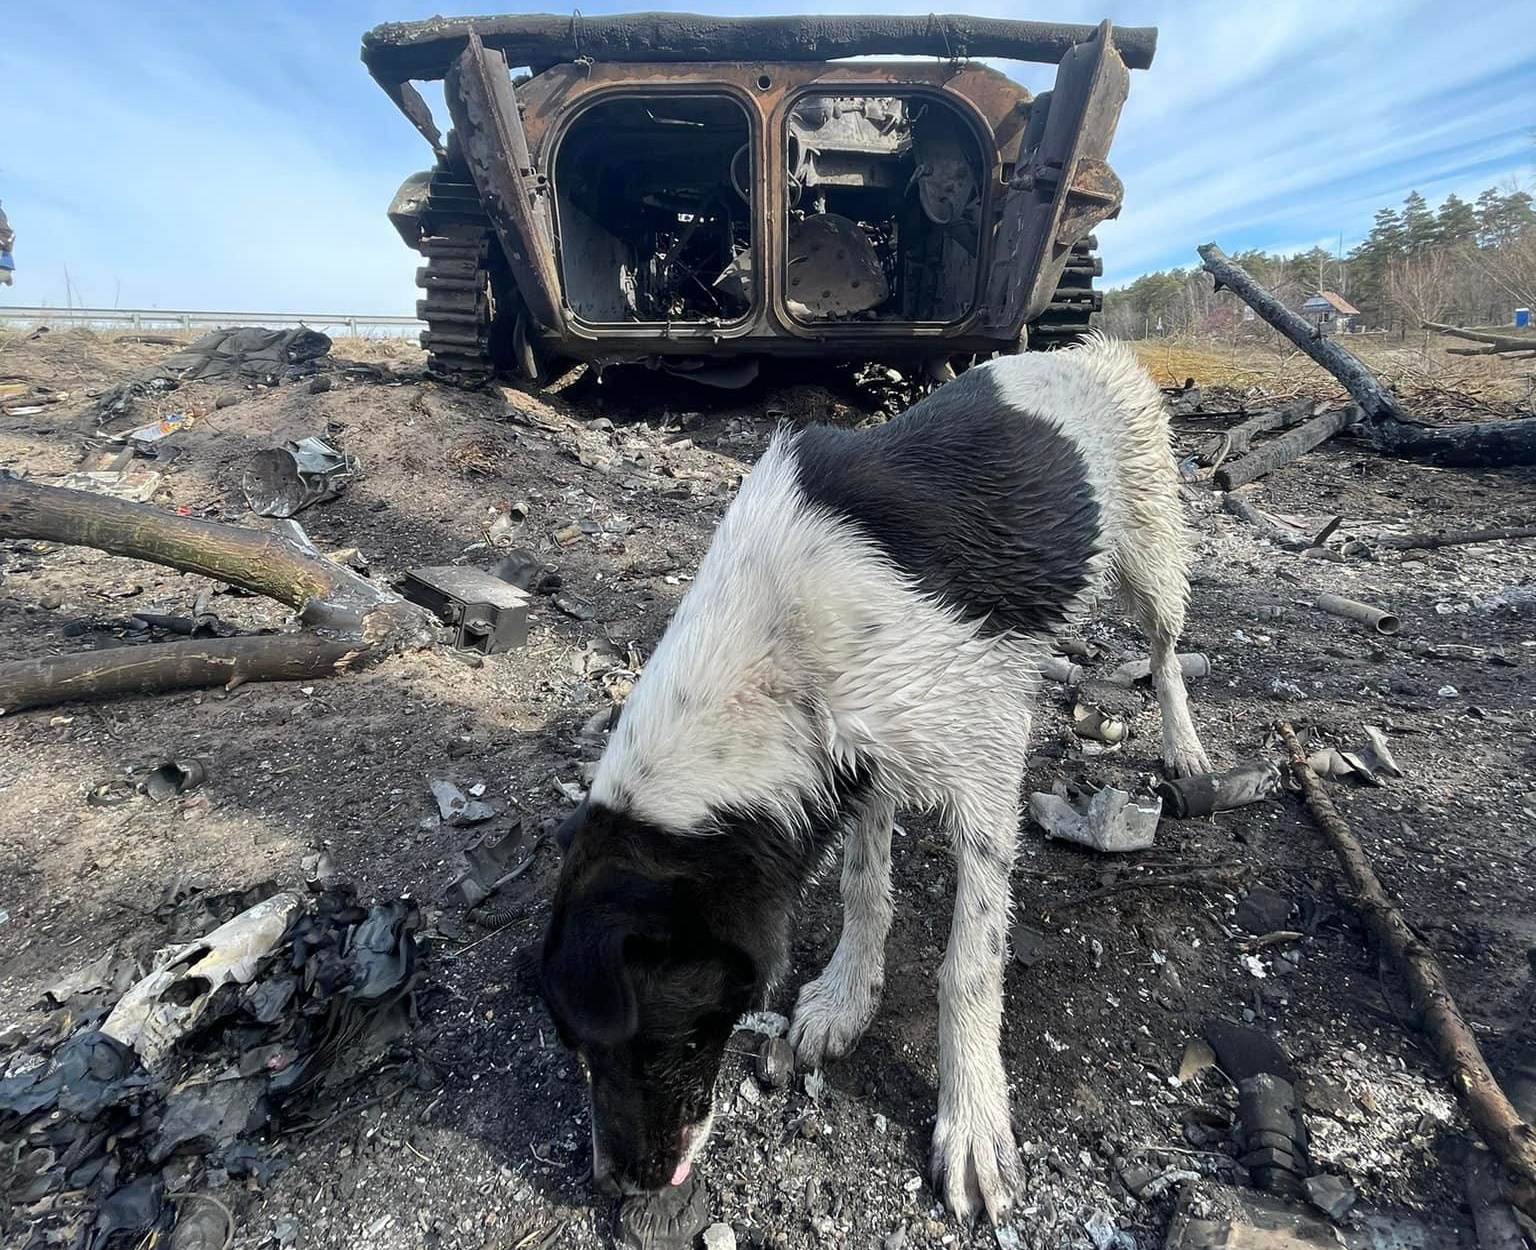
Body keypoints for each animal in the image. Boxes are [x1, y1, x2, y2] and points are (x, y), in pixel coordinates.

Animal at [539, 333, 1210, 1223]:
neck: (774, 658)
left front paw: (973, 1124)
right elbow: (864, 886)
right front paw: (847, 997)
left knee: (1166, 652)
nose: (615, 1184)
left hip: (1151, 554)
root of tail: (1085, 349)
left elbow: (969, 966)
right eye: (576, 1048)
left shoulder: (982, 761)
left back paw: (1186, 747)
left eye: (650, 1040)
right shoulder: (856, 761)